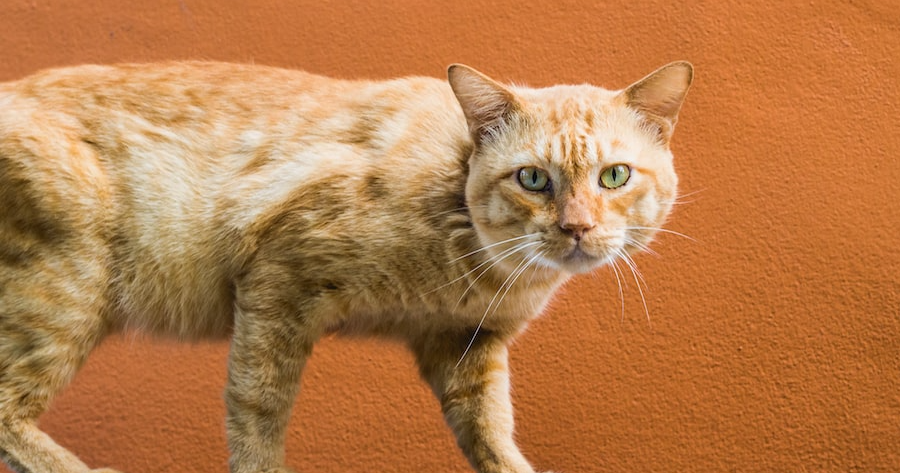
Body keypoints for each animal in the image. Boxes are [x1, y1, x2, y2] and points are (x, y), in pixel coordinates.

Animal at [0, 59, 692, 473]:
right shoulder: (277, 283)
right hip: (65, 297)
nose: (577, 228)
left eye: (614, 176)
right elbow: (257, 416)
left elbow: (493, 433)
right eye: (533, 179)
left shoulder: (467, 349)